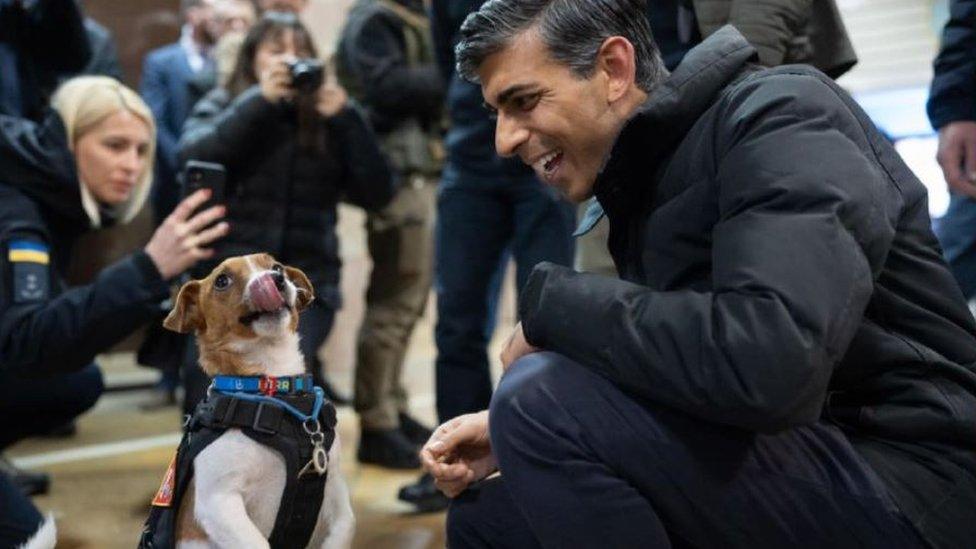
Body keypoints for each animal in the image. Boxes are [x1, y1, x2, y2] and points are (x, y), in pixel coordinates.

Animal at [162, 253, 356, 548]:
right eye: (222, 280)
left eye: (276, 266)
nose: (276, 279)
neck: (273, 388)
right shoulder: (218, 502)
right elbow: (257, 543)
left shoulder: (336, 495)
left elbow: (343, 530)